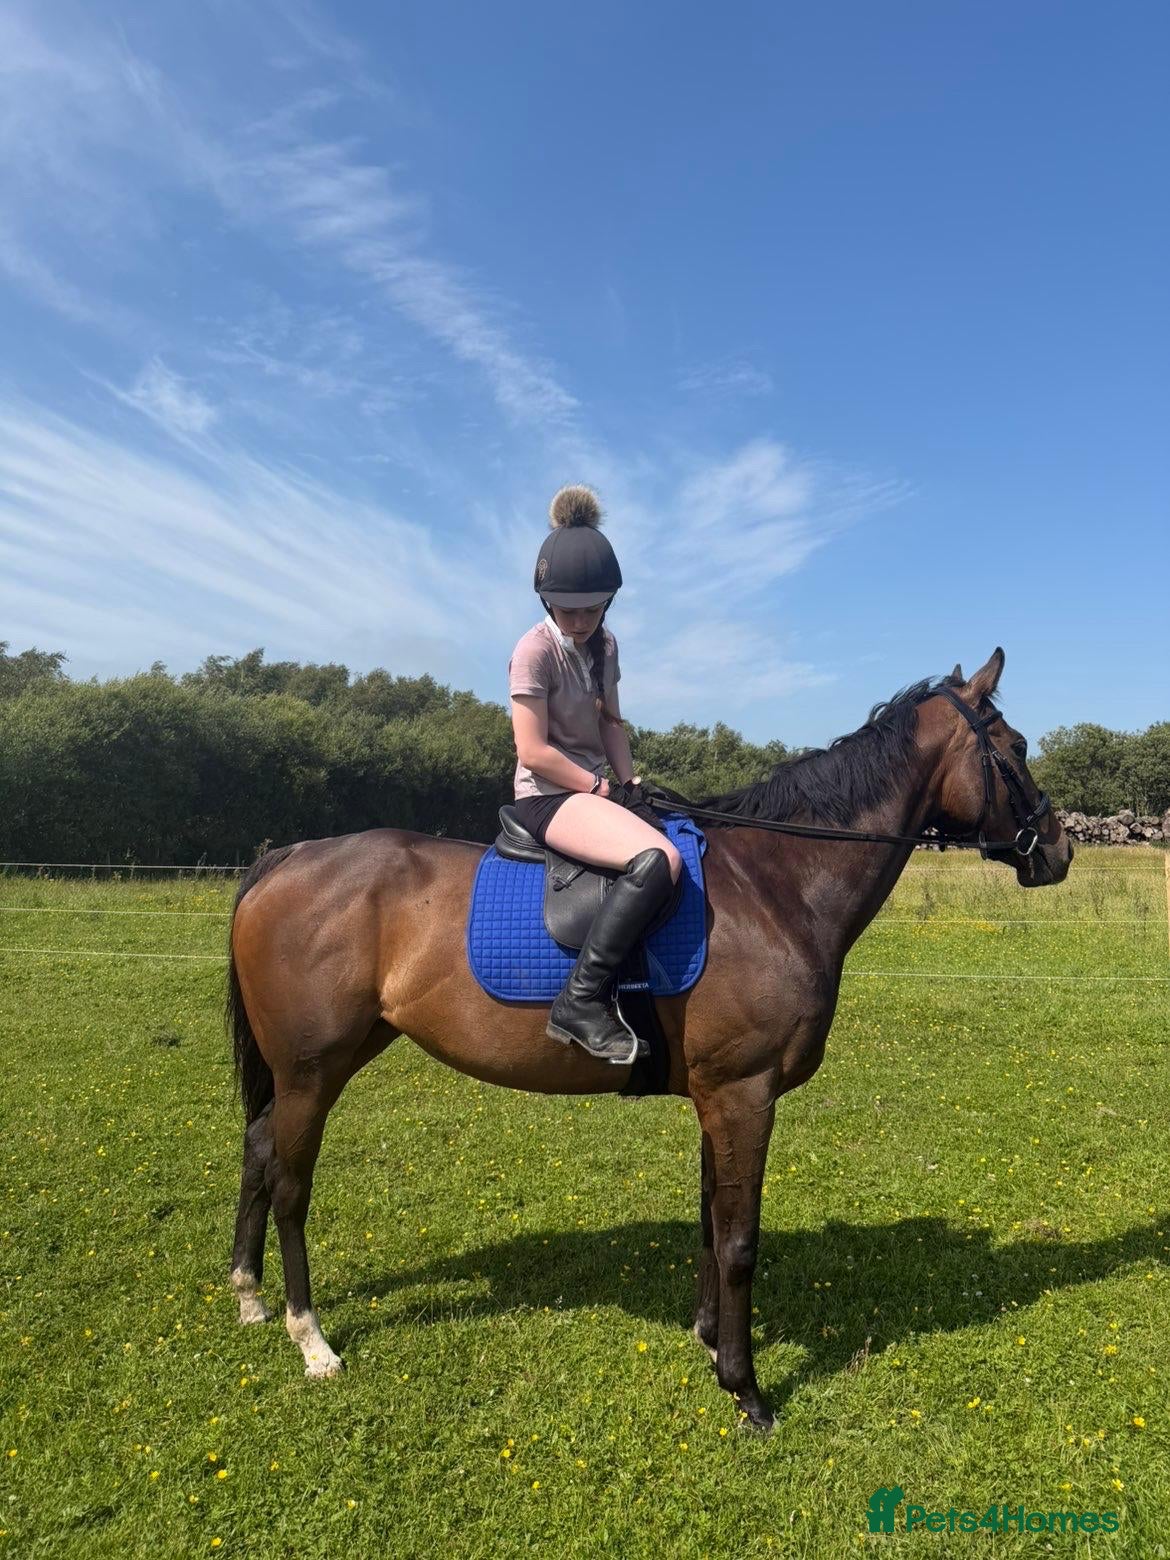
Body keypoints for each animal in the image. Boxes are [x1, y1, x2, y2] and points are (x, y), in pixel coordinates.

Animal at [225, 647, 1070, 1430]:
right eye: (1018, 747)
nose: (1059, 848)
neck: (776, 884)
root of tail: (287, 858)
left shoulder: (717, 1097)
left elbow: (709, 1222)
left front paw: (708, 1342)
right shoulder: (744, 1094)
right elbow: (740, 1241)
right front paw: (745, 1388)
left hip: (330, 1058)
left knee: (259, 1150)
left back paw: (249, 1296)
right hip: (312, 1070)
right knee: (291, 1184)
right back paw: (312, 1340)